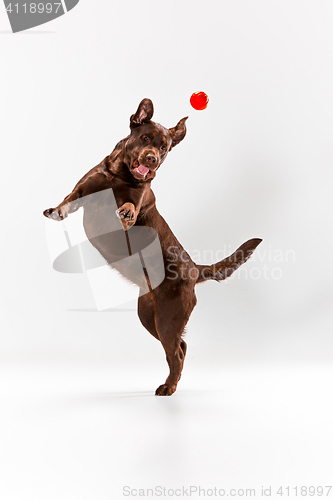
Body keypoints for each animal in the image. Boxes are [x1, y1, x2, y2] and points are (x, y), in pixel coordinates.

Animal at [43, 97, 262, 394]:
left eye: (164, 148)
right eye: (145, 138)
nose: (152, 159)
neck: (120, 175)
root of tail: (195, 269)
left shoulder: (138, 199)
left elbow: (129, 206)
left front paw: (125, 212)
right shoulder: (85, 187)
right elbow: (69, 198)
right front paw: (56, 210)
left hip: (168, 318)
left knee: (176, 353)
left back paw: (168, 387)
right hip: (149, 316)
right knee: (181, 345)